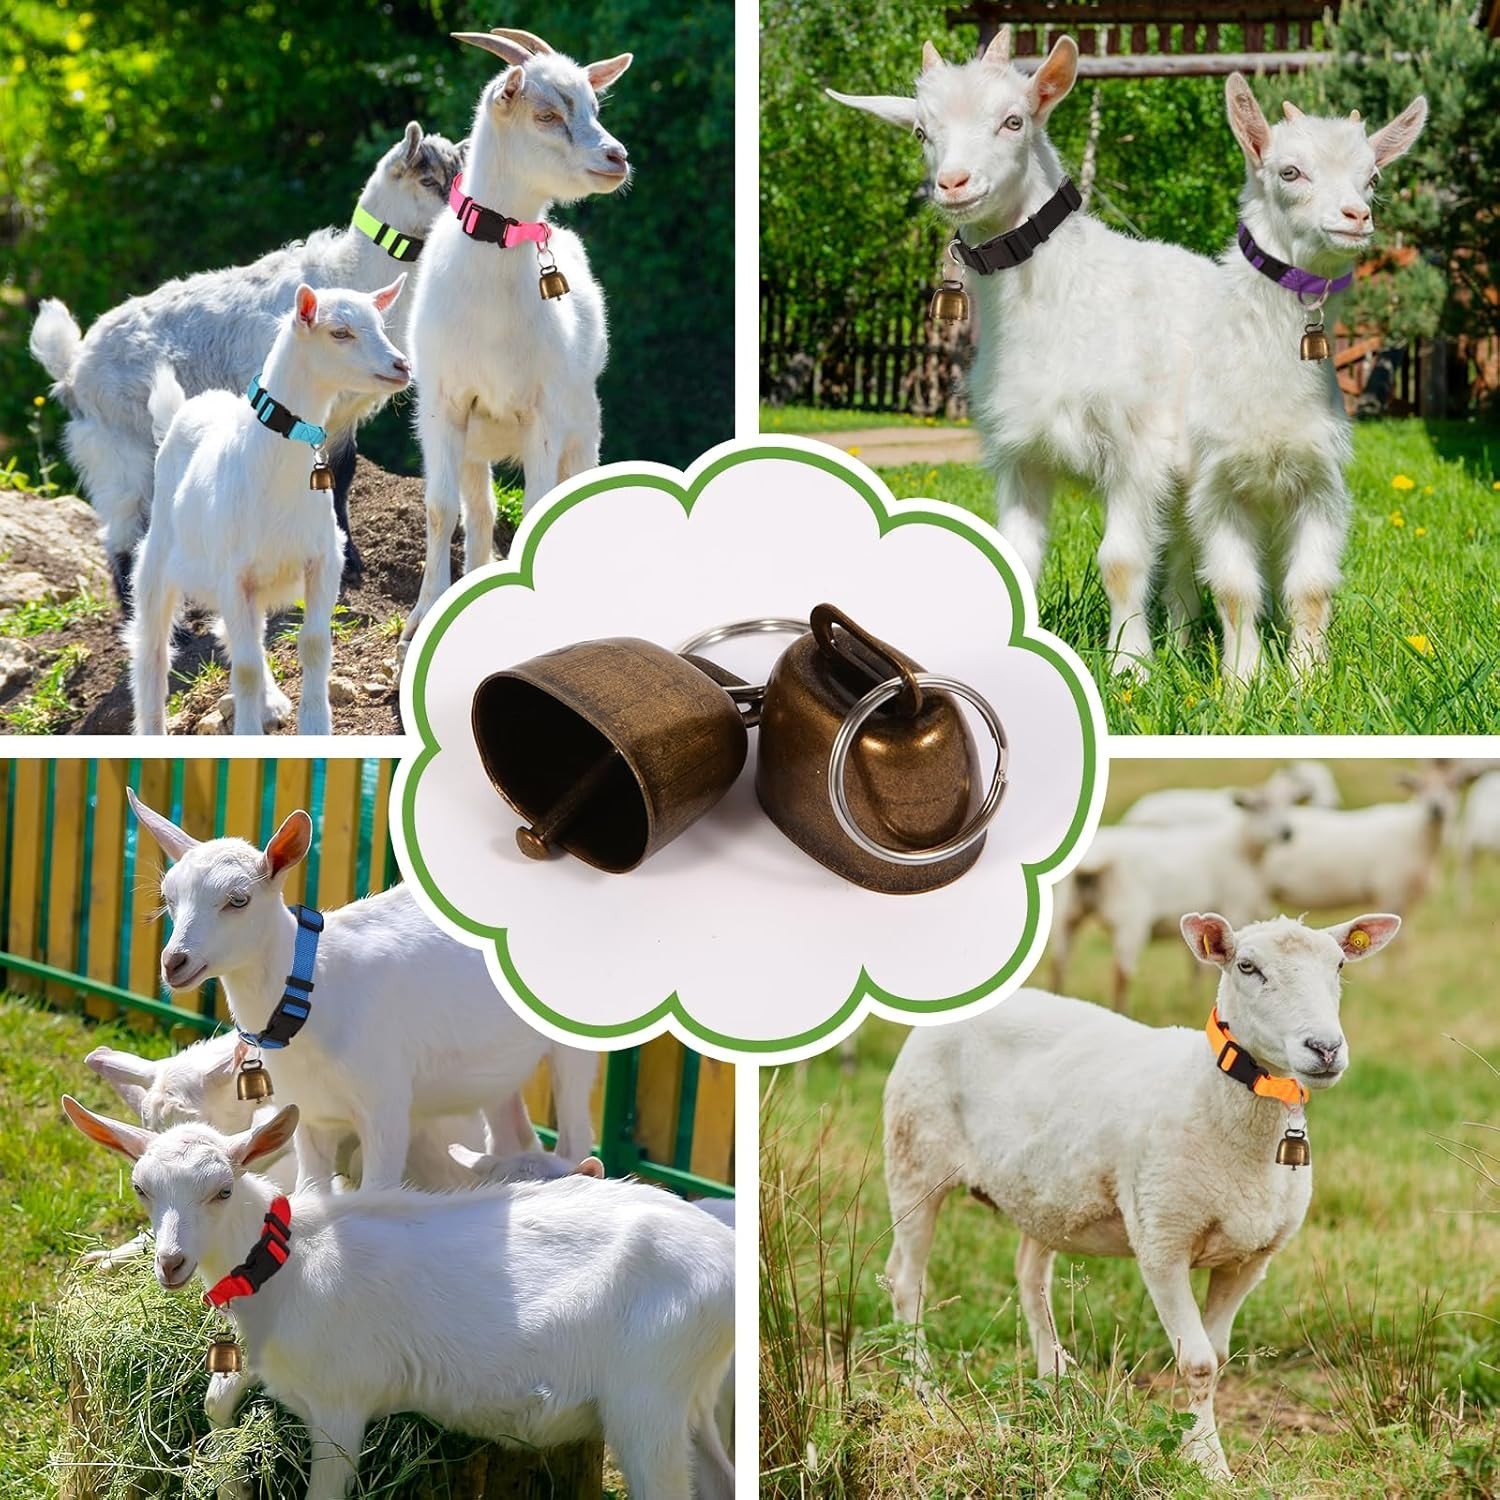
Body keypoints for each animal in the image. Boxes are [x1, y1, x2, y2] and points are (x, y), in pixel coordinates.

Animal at [29, 123, 460, 598]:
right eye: (428, 181)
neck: (350, 272)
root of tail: (73, 369)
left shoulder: (342, 416)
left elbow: (340, 476)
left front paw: (350, 562)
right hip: (118, 449)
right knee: (124, 534)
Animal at [63, 1101, 736, 1500]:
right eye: (141, 1188)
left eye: (223, 1189)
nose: (170, 1263)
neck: (286, 1263)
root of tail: (728, 1262)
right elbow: (217, 1404)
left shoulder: (341, 1406)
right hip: (691, 1398)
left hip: (645, 1399)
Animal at [401, 28, 632, 648]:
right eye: (546, 113)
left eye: (595, 107)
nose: (618, 157)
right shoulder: (444, 404)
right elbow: (441, 509)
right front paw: (421, 617)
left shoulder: (544, 411)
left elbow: (538, 508)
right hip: (474, 445)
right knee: (479, 513)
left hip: (584, 426)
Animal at [883, 910, 1399, 1476]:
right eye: (1247, 966)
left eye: (1339, 965)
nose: (1325, 1049)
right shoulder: (1162, 1240)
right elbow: (1198, 1363)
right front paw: (1209, 1465)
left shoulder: (1250, 1257)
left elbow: (1218, 1357)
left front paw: (1200, 1449)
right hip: (914, 1159)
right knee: (907, 1282)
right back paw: (922, 1389)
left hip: (1042, 1192)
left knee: (1029, 1277)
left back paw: (1056, 1383)